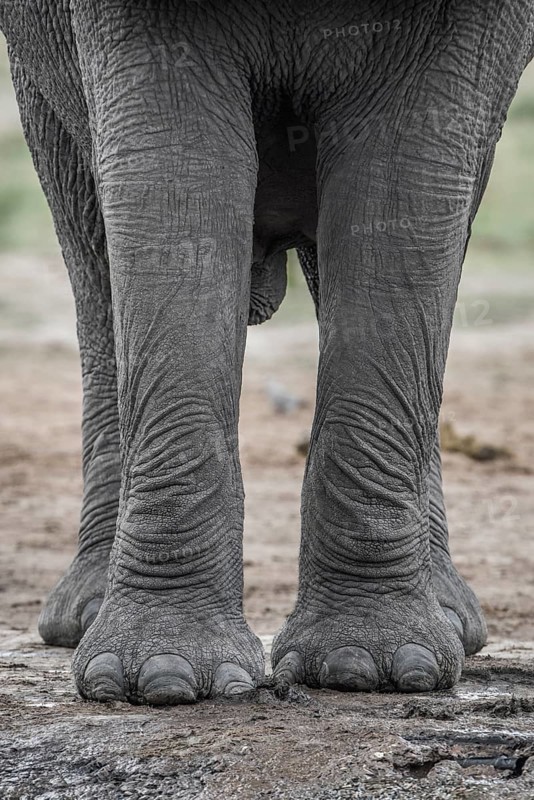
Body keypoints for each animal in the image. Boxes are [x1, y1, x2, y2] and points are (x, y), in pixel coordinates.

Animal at [1, 0, 532, 705]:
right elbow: (173, 193)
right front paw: (160, 680)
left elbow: (405, 206)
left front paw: (373, 670)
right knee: (91, 249)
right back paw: (86, 616)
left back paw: (448, 620)